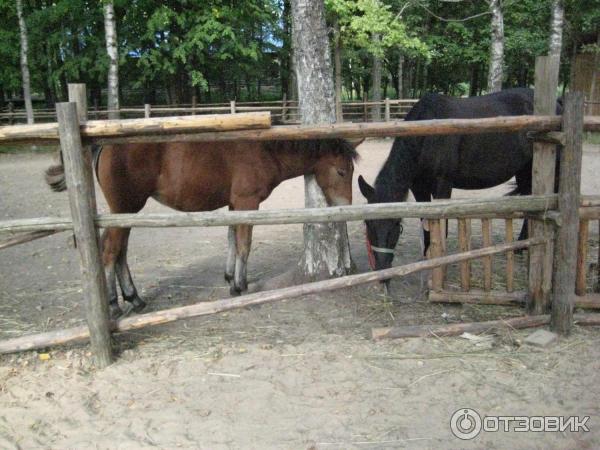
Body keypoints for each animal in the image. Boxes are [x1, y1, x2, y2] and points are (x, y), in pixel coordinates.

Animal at [47, 139, 358, 318]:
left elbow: (232, 239)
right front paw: (239, 286)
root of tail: (103, 145)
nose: (347, 207)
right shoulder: (246, 202)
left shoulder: (235, 204)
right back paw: (114, 304)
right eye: (341, 171)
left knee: (118, 250)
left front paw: (230, 277)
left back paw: (134, 298)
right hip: (124, 210)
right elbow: (243, 243)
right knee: (111, 252)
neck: (264, 151)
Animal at [356, 87, 556, 276]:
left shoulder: (443, 184)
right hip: (524, 172)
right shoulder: (419, 187)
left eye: (397, 224)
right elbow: (426, 222)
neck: (426, 136)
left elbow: (440, 224)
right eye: (367, 223)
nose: (382, 269)